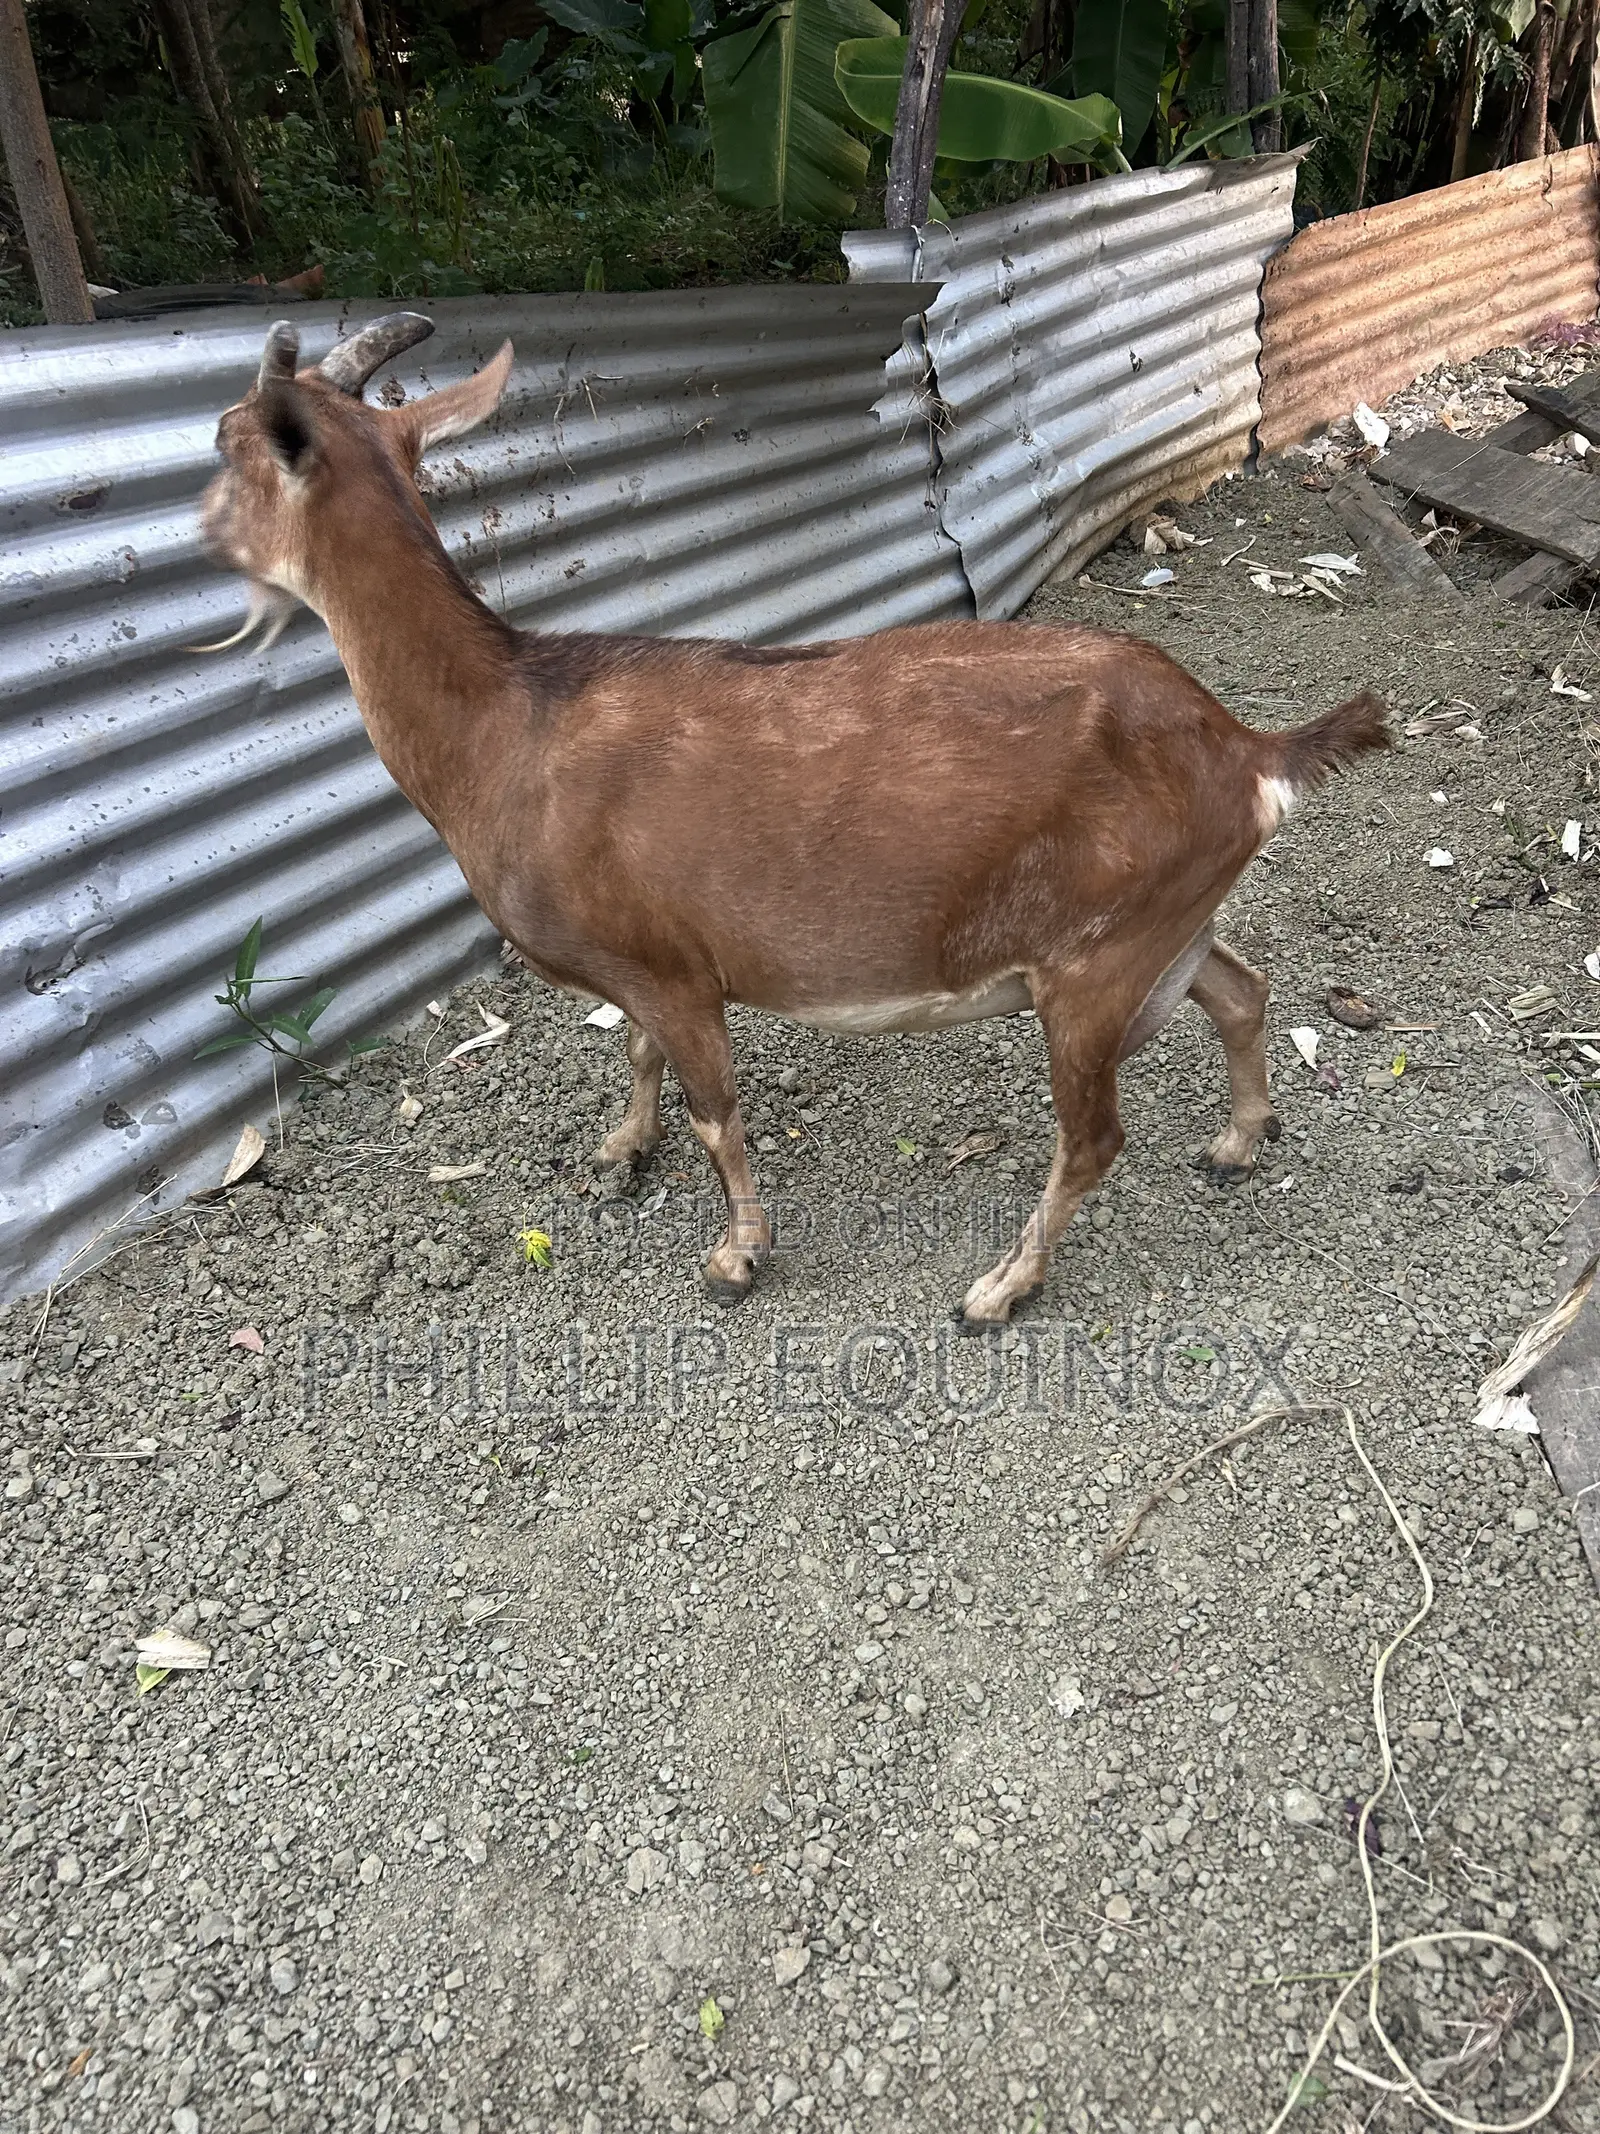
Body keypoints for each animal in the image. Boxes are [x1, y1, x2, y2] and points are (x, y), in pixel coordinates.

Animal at [201, 313, 1390, 1326]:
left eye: (225, 443)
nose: (201, 539)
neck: (506, 728)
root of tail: (1246, 751)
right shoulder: (648, 952)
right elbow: (637, 1052)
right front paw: (620, 1150)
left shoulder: (678, 972)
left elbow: (713, 1109)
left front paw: (736, 1257)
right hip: (1161, 927)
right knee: (1240, 991)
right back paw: (1237, 1143)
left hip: (1095, 962)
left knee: (1096, 1135)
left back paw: (1000, 1287)